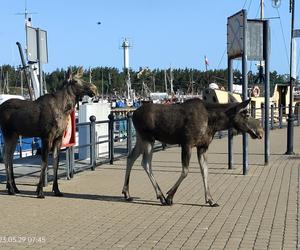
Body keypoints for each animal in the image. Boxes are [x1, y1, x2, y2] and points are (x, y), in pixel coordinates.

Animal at [0, 66, 98, 197]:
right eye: (76, 81)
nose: (94, 89)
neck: (64, 109)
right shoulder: (46, 136)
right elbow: (45, 161)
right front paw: (40, 191)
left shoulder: (59, 137)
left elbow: (55, 162)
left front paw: (56, 190)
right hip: (8, 133)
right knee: (6, 156)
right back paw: (10, 188)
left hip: (15, 135)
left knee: (10, 156)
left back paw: (14, 187)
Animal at [122, 98, 262, 206]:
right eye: (246, 114)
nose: (260, 131)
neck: (215, 123)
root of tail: (133, 114)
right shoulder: (187, 144)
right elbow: (185, 171)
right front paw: (170, 196)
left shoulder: (203, 147)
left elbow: (205, 171)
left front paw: (210, 200)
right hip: (148, 138)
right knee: (145, 163)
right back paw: (160, 196)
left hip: (140, 138)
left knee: (131, 157)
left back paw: (127, 193)